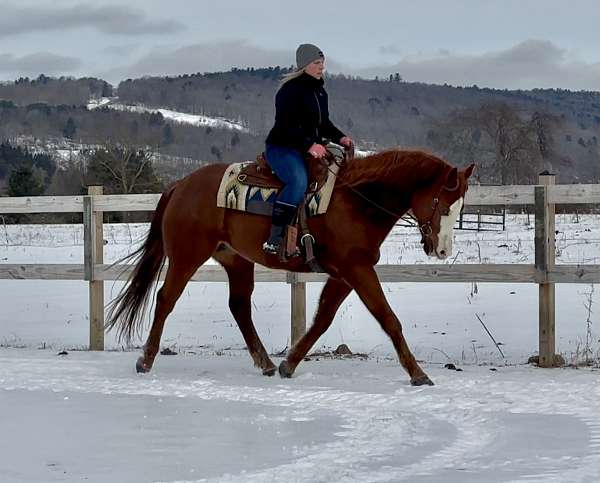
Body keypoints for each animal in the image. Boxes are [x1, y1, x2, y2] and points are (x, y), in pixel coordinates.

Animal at [106, 149, 474, 388]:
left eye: (460, 207)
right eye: (443, 204)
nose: (442, 250)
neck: (355, 201)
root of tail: (180, 185)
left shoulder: (345, 274)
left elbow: (322, 319)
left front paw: (289, 363)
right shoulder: (357, 269)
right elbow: (388, 319)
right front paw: (418, 374)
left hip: (236, 260)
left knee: (239, 307)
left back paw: (267, 364)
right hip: (186, 256)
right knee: (166, 299)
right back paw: (145, 360)